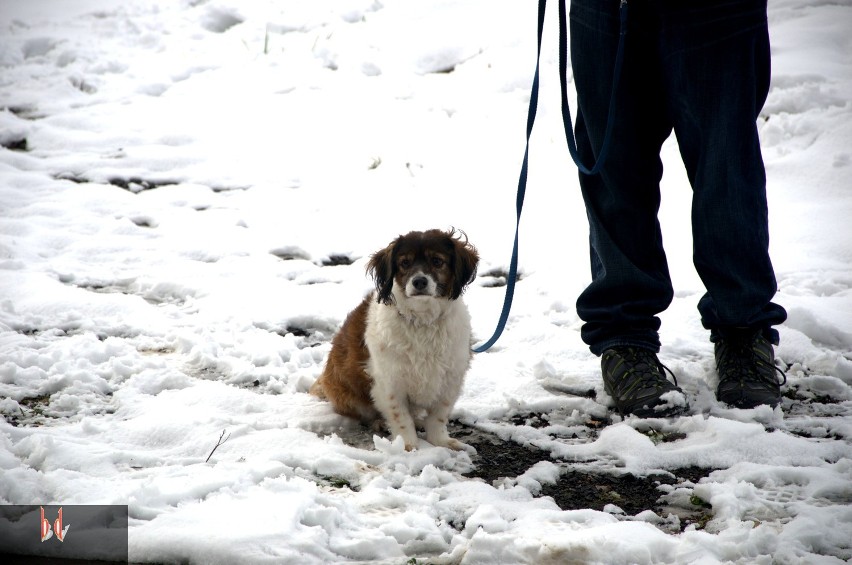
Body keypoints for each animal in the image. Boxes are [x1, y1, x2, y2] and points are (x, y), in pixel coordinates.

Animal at [310, 227, 480, 452]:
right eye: (405, 263)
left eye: (437, 261)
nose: (419, 281)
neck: (423, 320)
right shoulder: (389, 381)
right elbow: (401, 417)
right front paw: (407, 446)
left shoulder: (450, 379)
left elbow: (438, 417)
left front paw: (442, 442)